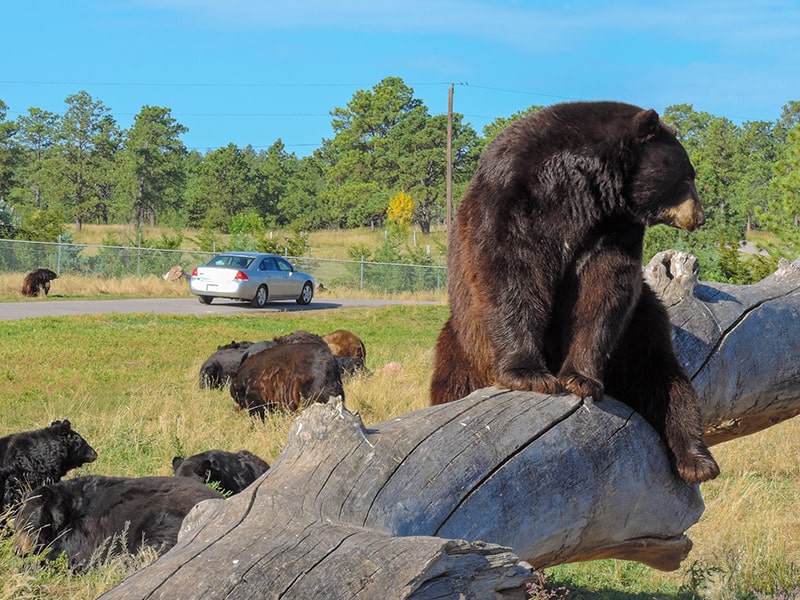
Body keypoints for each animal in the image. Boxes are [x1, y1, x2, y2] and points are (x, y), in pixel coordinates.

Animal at [434, 98, 720, 482]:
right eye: (688, 176)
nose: (699, 217)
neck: (579, 190)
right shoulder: (513, 198)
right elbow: (511, 275)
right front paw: (530, 374)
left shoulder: (611, 228)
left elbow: (603, 293)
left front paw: (579, 378)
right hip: (461, 349)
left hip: (643, 325)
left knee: (665, 378)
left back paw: (696, 459)